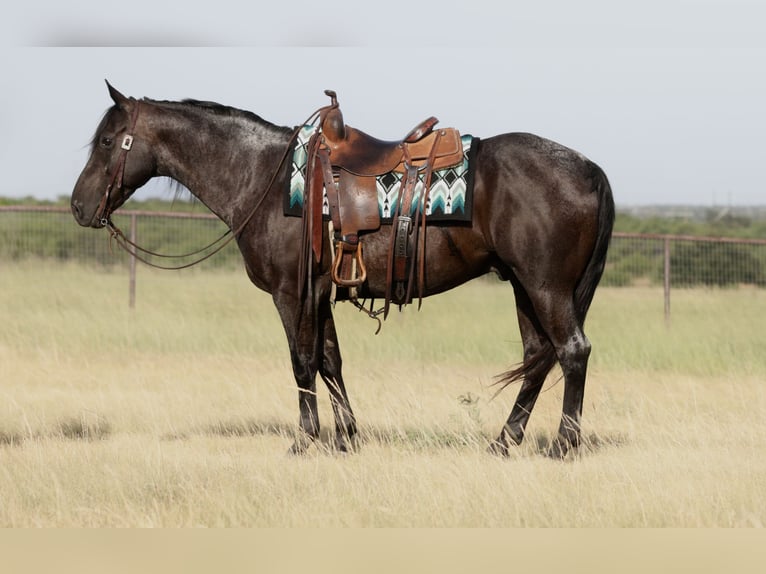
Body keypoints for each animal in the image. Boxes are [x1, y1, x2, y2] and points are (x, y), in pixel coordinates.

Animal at [71, 82, 615, 458]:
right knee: (539, 356)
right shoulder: (321, 292)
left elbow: (301, 361)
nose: (78, 206)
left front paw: (305, 440)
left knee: (572, 351)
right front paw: (346, 437)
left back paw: (563, 445)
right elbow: (330, 361)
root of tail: (589, 169)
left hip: (546, 287)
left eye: (108, 141)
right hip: (524, 286)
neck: (263, 178)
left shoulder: (292, 294)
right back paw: (504, 441)